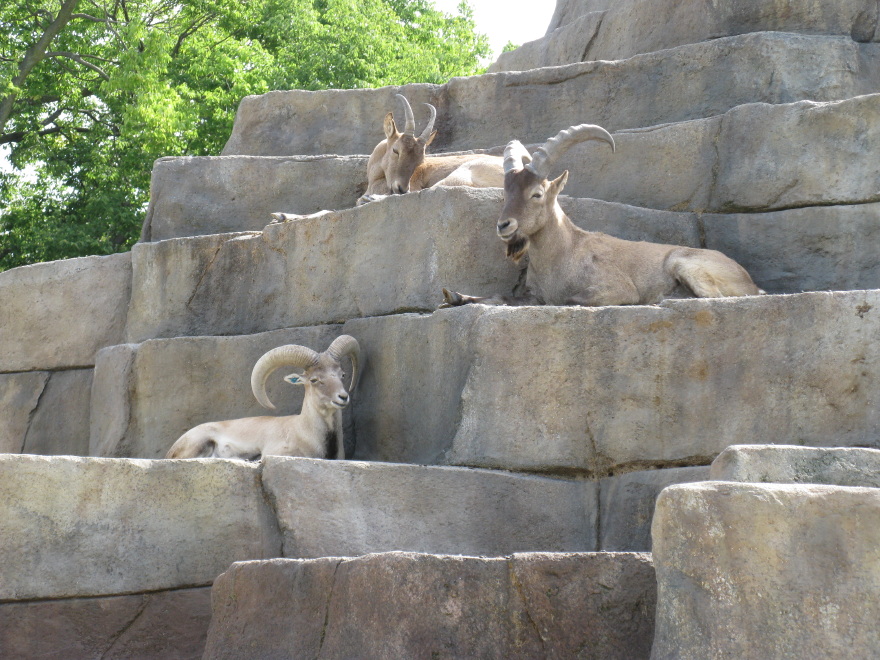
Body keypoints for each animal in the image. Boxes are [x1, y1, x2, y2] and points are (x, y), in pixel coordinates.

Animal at [444, 125, 760, 308]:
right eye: (506, 192)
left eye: (537, 193)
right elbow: (501, 296)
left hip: (683, 263)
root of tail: (748, 279)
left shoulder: (616, 289)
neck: (565, 254)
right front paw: (455, 296)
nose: (504, 225)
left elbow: (567, 300)